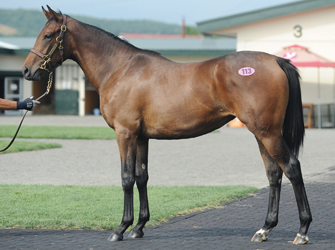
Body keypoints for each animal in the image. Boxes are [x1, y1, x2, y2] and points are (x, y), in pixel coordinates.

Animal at [23, 5, 312, 244]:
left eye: (48, 35)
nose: (27, 71)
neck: (120, 69)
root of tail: (276, 60)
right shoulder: (141, 137)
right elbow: (142, 176)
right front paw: (139, 227)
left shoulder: (125, 134)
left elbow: (126, 178)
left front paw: (121, 229)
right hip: (262, 133)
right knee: (274, 174)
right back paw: (264, 229)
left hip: (268, 133)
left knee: (292, 168)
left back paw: (302, 230)